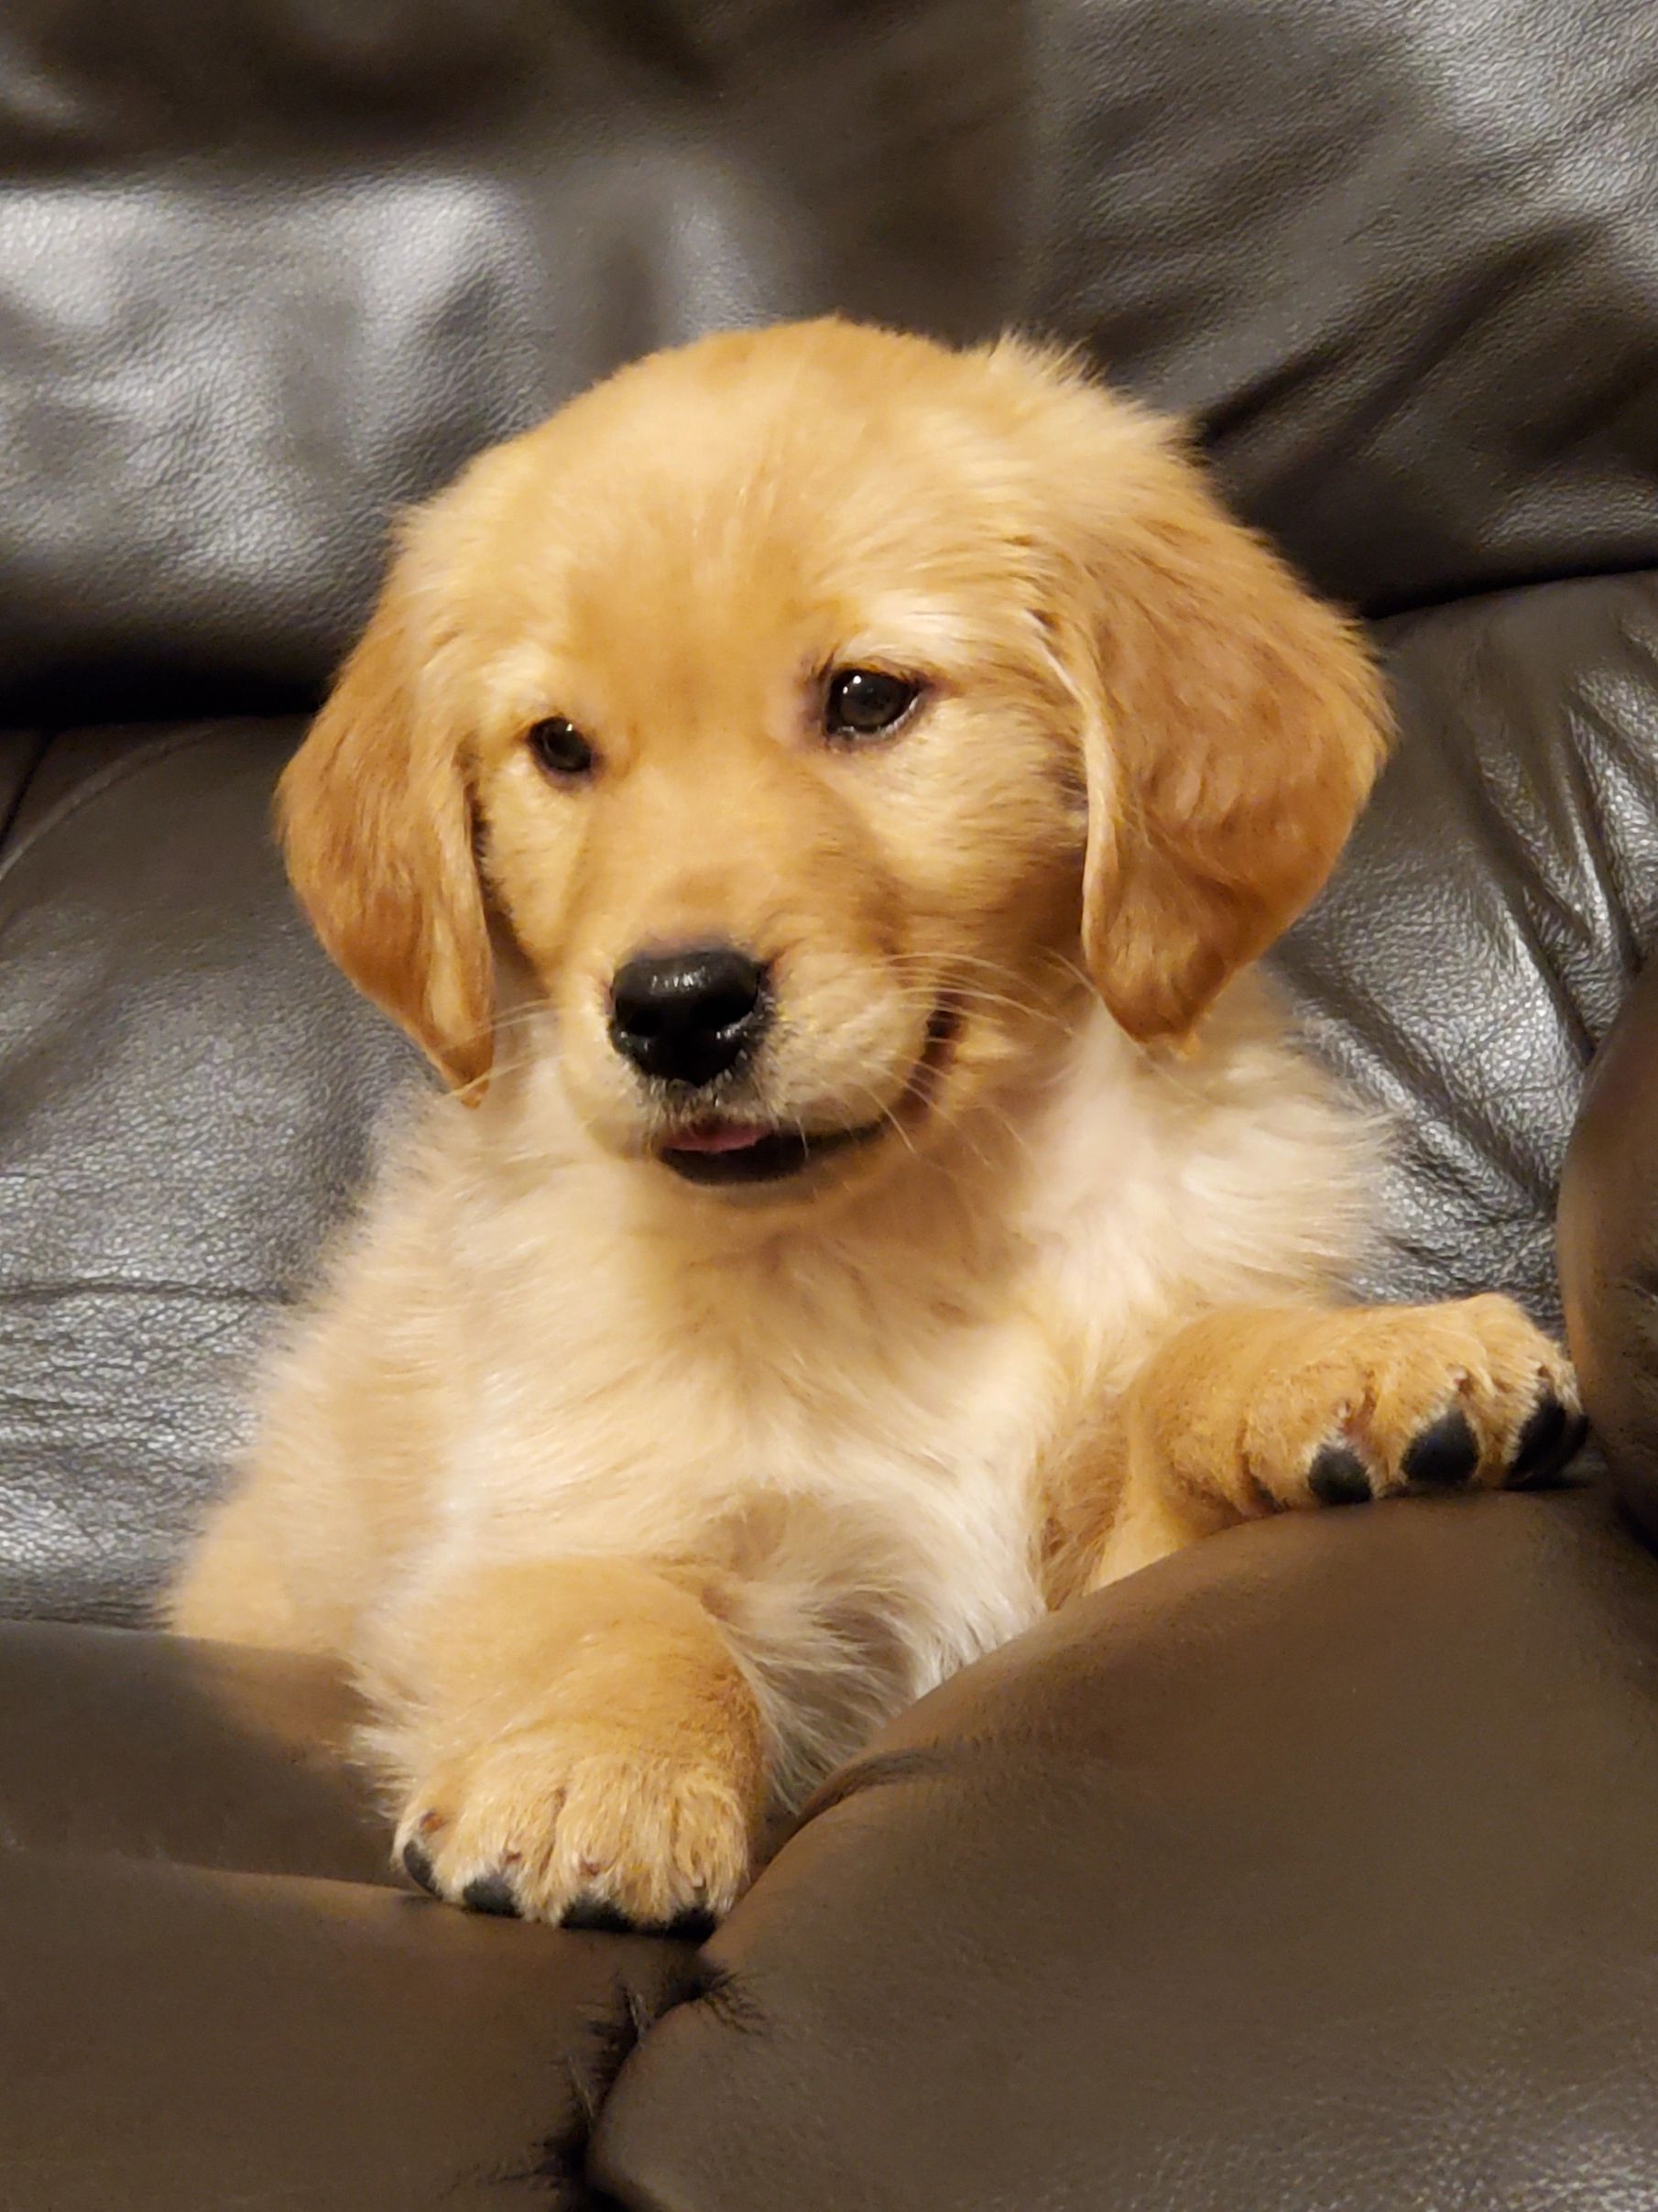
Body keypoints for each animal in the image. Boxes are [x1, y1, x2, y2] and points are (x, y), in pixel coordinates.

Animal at [174, 321, 1585, 1928]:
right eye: (560, 747)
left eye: (865, 697)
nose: (673, 1007)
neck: (906, 1235)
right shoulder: (534, 1518)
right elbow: (626, 1617)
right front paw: (599, 1775)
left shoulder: (1080, 1571)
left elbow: (1180, 1369)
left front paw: (1346, 1361)